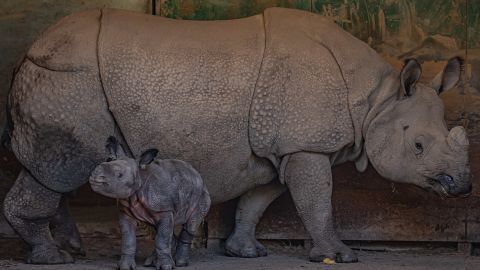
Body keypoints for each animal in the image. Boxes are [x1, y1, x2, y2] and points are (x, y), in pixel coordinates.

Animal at [90, 137, 210, 270]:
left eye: (119, 175)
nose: (95, 176)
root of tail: (197, 174)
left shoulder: (164, 208)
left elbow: (162, 238)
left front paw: (166, 267)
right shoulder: (126, 211)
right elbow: (128, 239)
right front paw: (125, 267)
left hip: (201, 194)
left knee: (190, 225)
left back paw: (180, 263)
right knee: (158, 228)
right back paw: (151, 262)